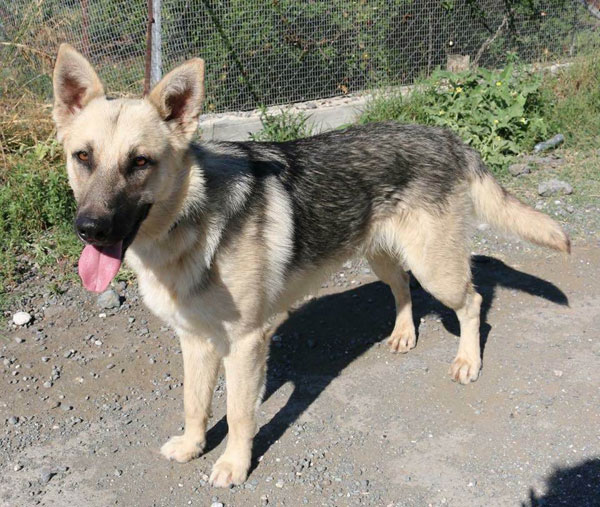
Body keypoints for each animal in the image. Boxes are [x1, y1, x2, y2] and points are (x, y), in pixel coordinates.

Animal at [50, 43, 568, 488]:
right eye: (83, 157)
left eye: (140, 162)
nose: (90, 229)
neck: (188, 219)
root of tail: (443, 135)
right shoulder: (195, 341)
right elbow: (194, 402)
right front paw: (193, 446)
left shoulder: (246, 344)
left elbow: (239, 413)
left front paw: (234, 465)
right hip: (381, 255)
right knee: (402, 288)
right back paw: (404, 333)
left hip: (436, 267)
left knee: (472, 301)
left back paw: (467, 360)